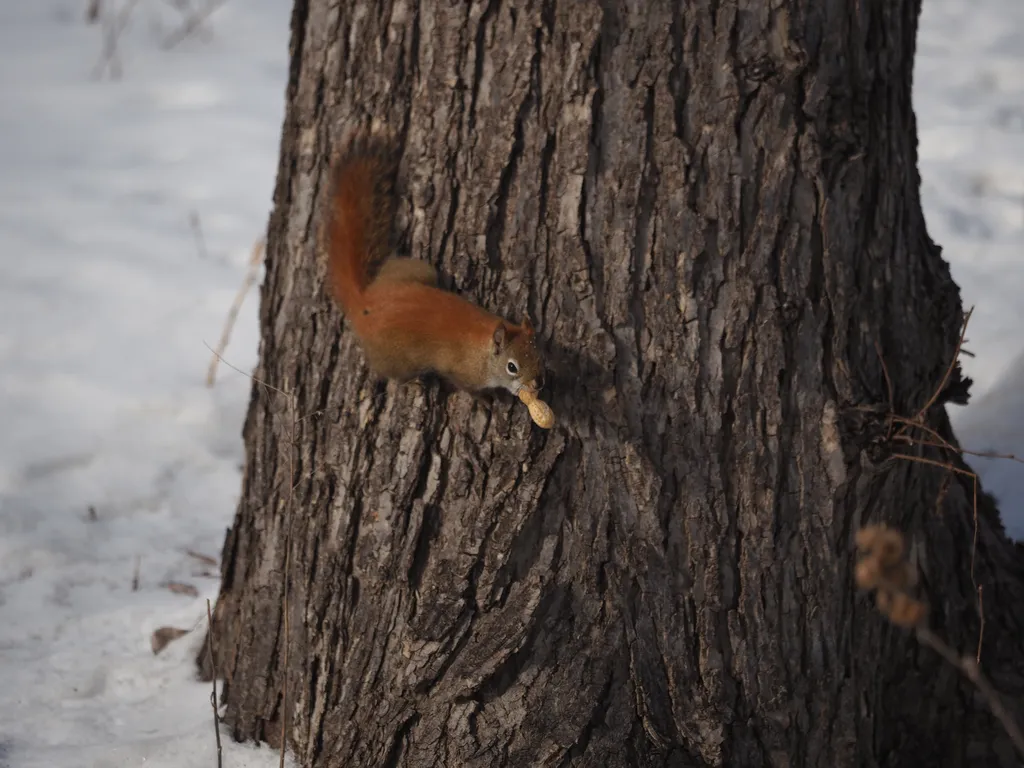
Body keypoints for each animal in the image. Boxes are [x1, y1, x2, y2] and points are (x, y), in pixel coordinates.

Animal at [324, 132, 546, 399]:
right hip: (394, 358)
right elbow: (464, 386)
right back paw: (411, 382)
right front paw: (486, 399)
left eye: (538, 356)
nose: (537, 385)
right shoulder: (461, 371)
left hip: (418, 271)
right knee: (392, 373)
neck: (483, 349)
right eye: (512, 367)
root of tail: (363, 301)